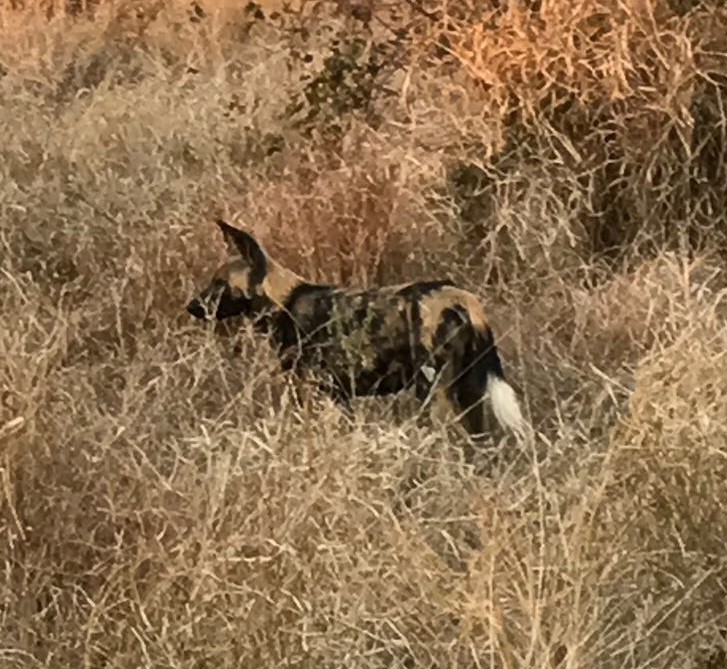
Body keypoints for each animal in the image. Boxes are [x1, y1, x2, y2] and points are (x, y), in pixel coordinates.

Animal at [185, 218, 528, 438]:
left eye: (219, 284)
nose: (191, 307)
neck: (284, 301)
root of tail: (460, 298)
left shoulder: (314, 392)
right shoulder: (339, 396)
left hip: (436, 390)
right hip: (468, 392)